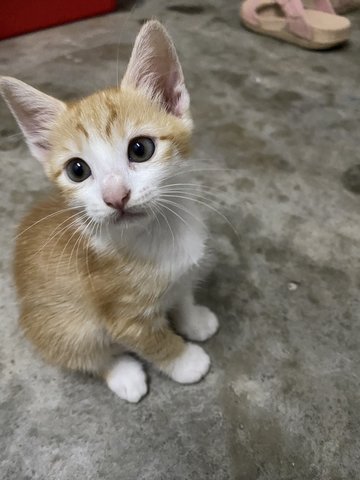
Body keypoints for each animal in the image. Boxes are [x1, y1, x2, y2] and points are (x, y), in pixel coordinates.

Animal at [0, 19, 218, 402]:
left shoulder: (180, 275)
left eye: (141, 149)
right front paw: (186, 362)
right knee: (84, 353)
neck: (158, 234)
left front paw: (193, 319)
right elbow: (155, 341)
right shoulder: (124, 317)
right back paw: (123, 374)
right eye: (77, 170)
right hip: (63, 326)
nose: (116, 196)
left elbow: (182, 294)